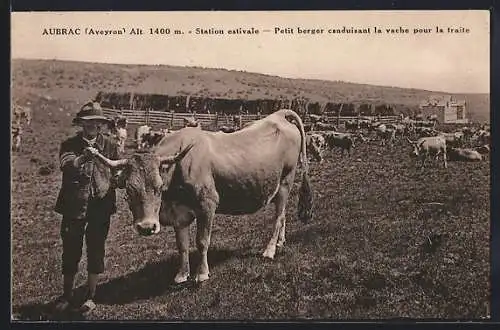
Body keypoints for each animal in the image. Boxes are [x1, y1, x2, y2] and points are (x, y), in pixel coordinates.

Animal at [90, 110, 312, 284]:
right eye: (128, 190)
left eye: (159, 187)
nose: (146, 227)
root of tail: (278, 116)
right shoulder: (178, 214)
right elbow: (182, 245)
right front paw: (182, 274)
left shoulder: (207, 205)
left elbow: (202, 241)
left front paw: (202, 274)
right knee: (282, 216)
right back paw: (281, 242)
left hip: (285, 182)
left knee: (279, 217)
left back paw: (269, 250)